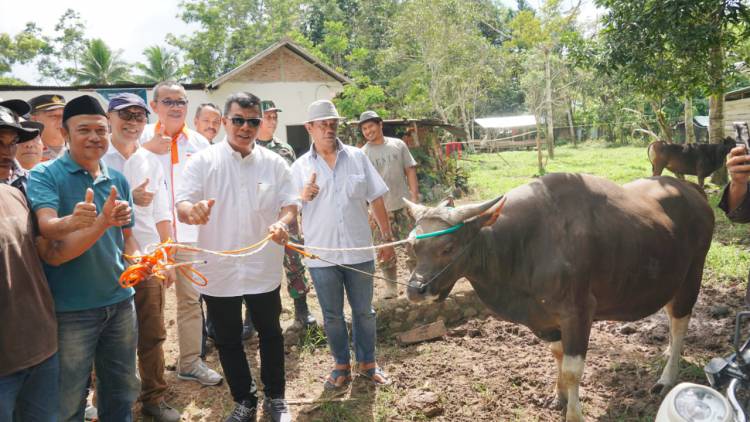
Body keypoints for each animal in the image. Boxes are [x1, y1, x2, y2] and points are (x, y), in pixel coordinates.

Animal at [406, 173, 716, 420]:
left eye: (448, 246)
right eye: (413, 246)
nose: (415, 290)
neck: (523, 244)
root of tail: (693, 190)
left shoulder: (578, 313)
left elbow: (572, 370)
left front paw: (574, 413)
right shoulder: (546, 318)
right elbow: (557, 355)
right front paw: (559, 396)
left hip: (692, 274)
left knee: (680, 323)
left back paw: (667, 377)